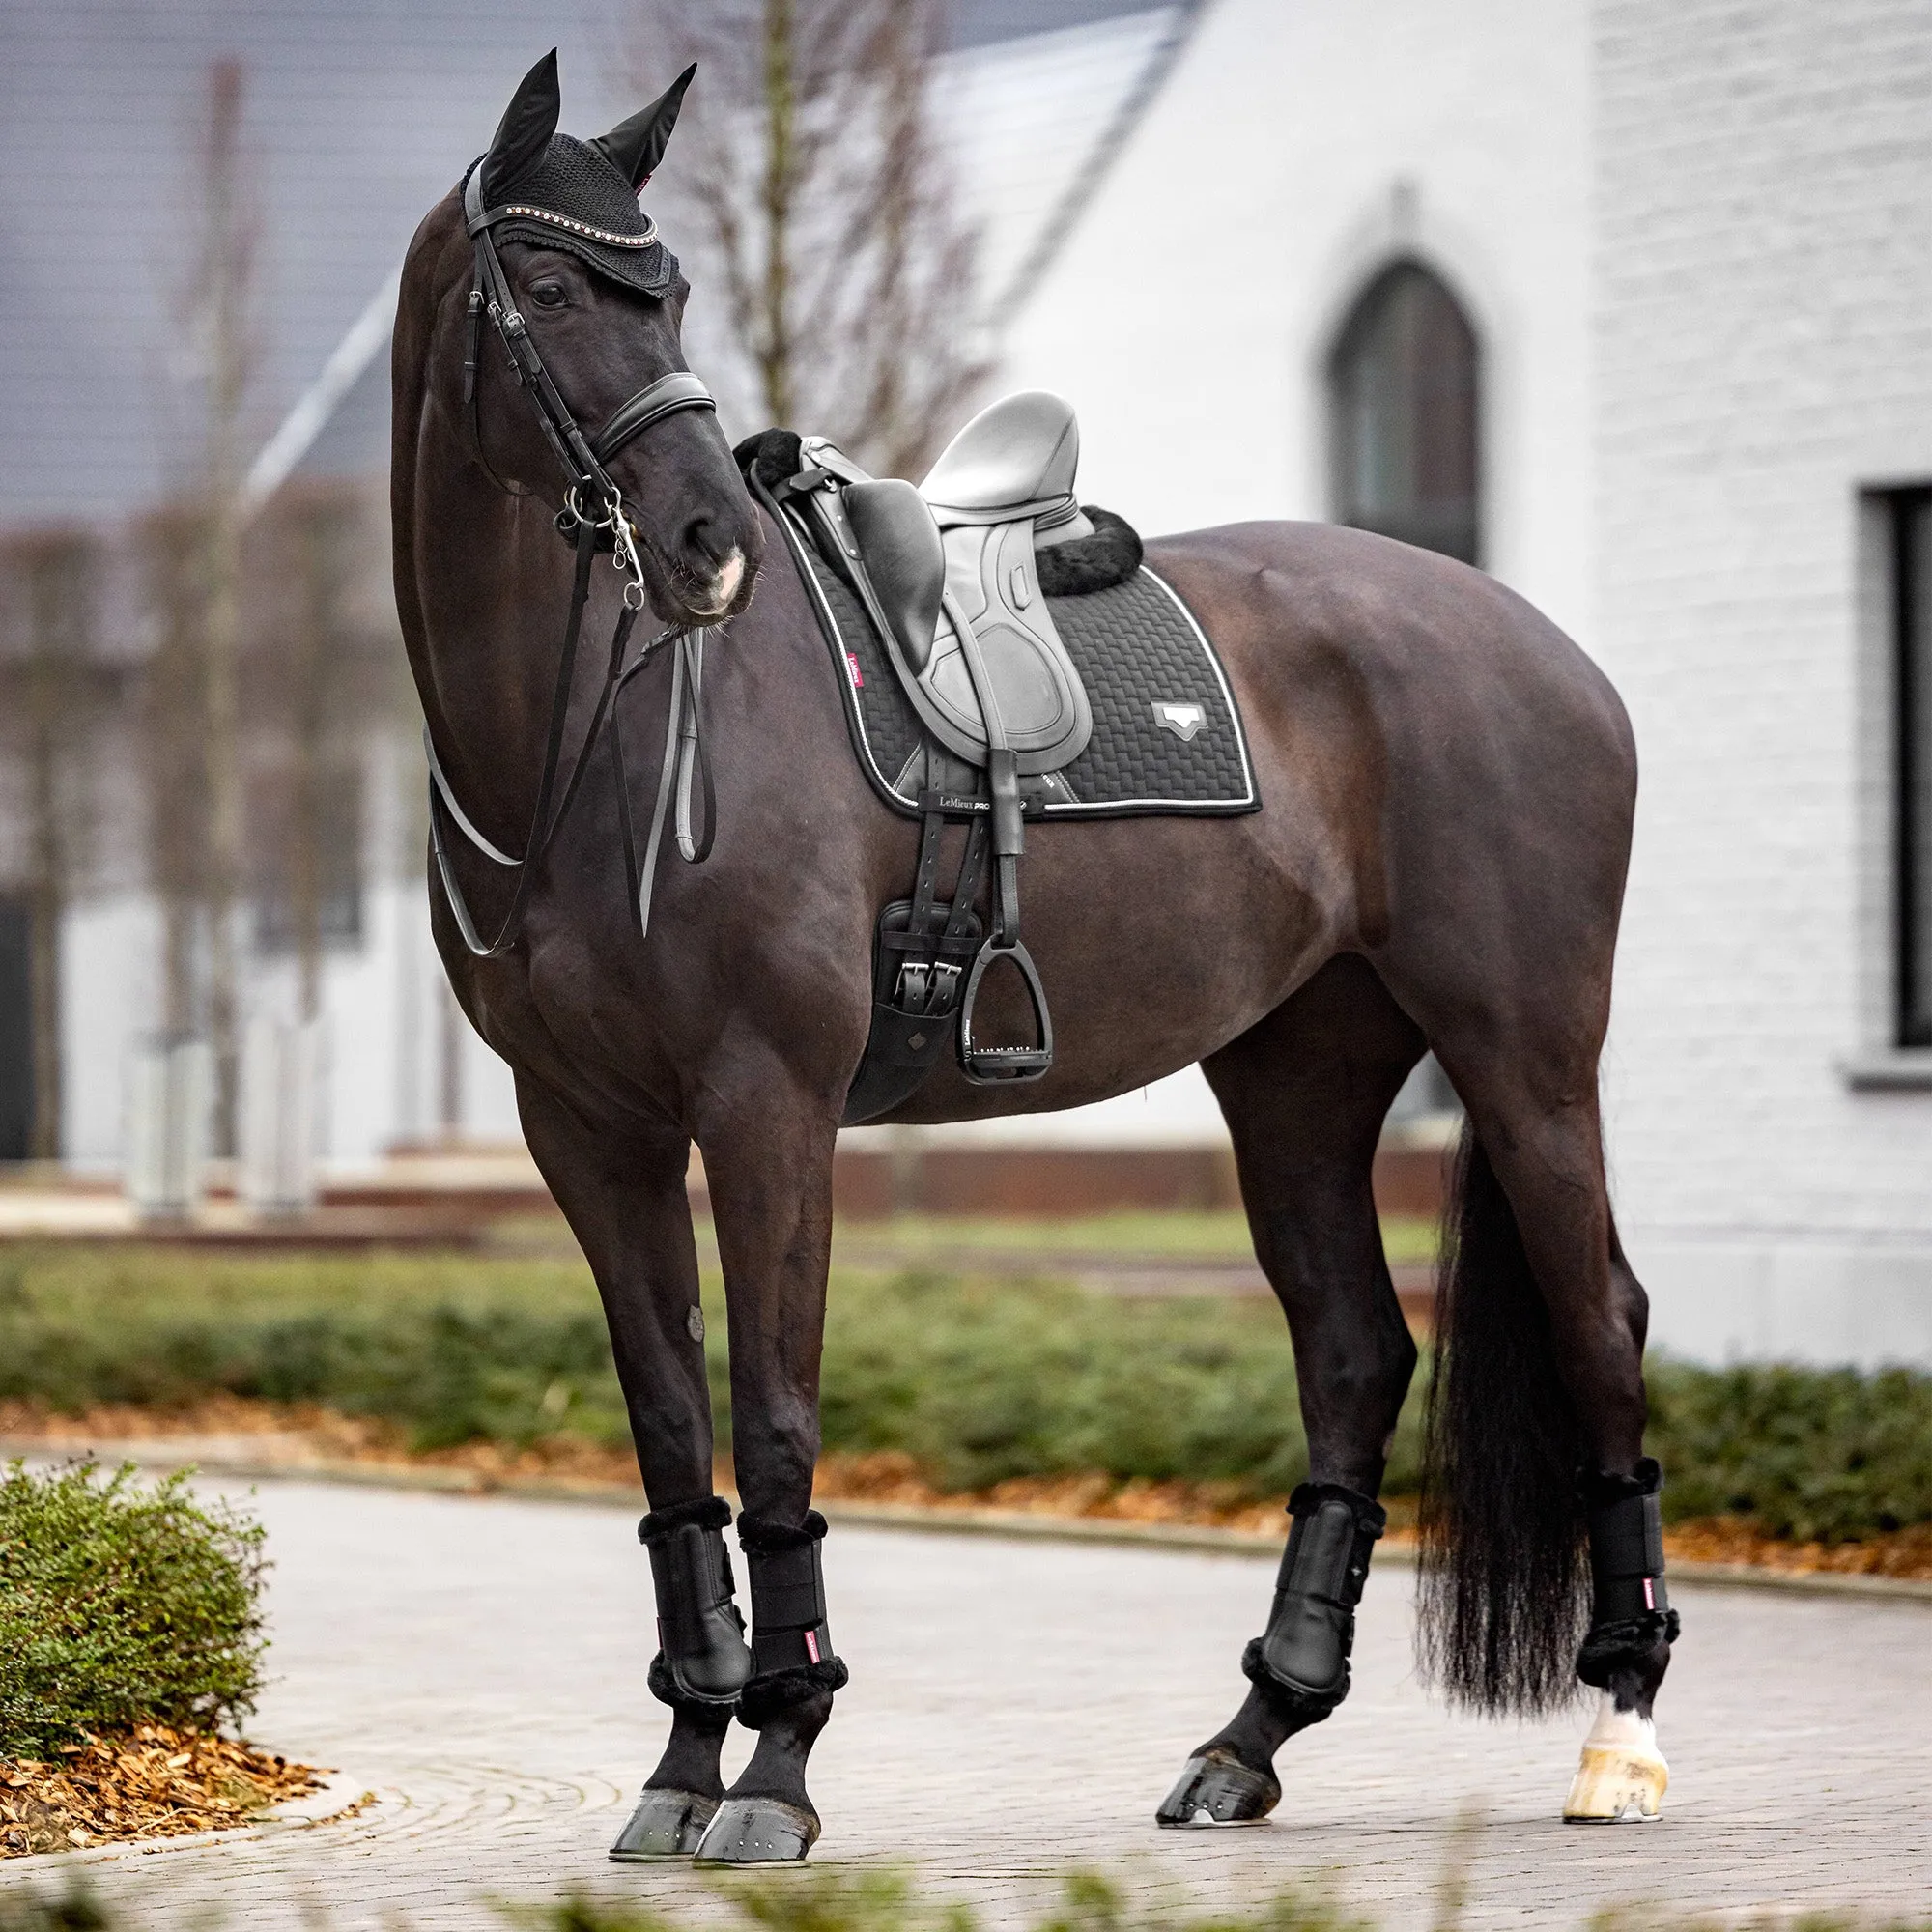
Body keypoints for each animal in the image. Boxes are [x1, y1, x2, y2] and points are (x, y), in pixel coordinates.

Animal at [388, 60, 1677, 1862]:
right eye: (562, 289)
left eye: (677, 292)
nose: (706, 540)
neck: (603, 735)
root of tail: (1538, 643)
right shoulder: (588, 1130)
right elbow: (669, 1432)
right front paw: (684, 1763)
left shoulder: (766, 1104)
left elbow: (773, 1420)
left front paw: (776, 1768)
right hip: (1297, 1072)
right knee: (1356, 1352)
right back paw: (1249, 1740)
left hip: (1526, 1054)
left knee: (1599, 1325)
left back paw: (1620, 1730)